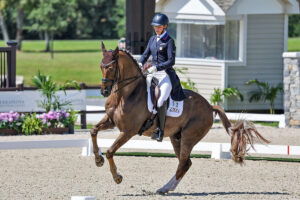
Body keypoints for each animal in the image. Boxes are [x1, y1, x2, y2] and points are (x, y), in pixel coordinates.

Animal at [90, 41, 270, 194]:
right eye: (100, 66)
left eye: (111, 67)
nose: (104, 91)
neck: (126, 94)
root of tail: (209, 106)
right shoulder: (111, 121)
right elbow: (93, 131)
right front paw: (98, 159)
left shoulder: (128, 131)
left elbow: (111, 151)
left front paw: (117, 177)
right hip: (176, 137)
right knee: (186, 163)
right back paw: (165, 188)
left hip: (189, 137)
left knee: (184, 162)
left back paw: (164, 188)